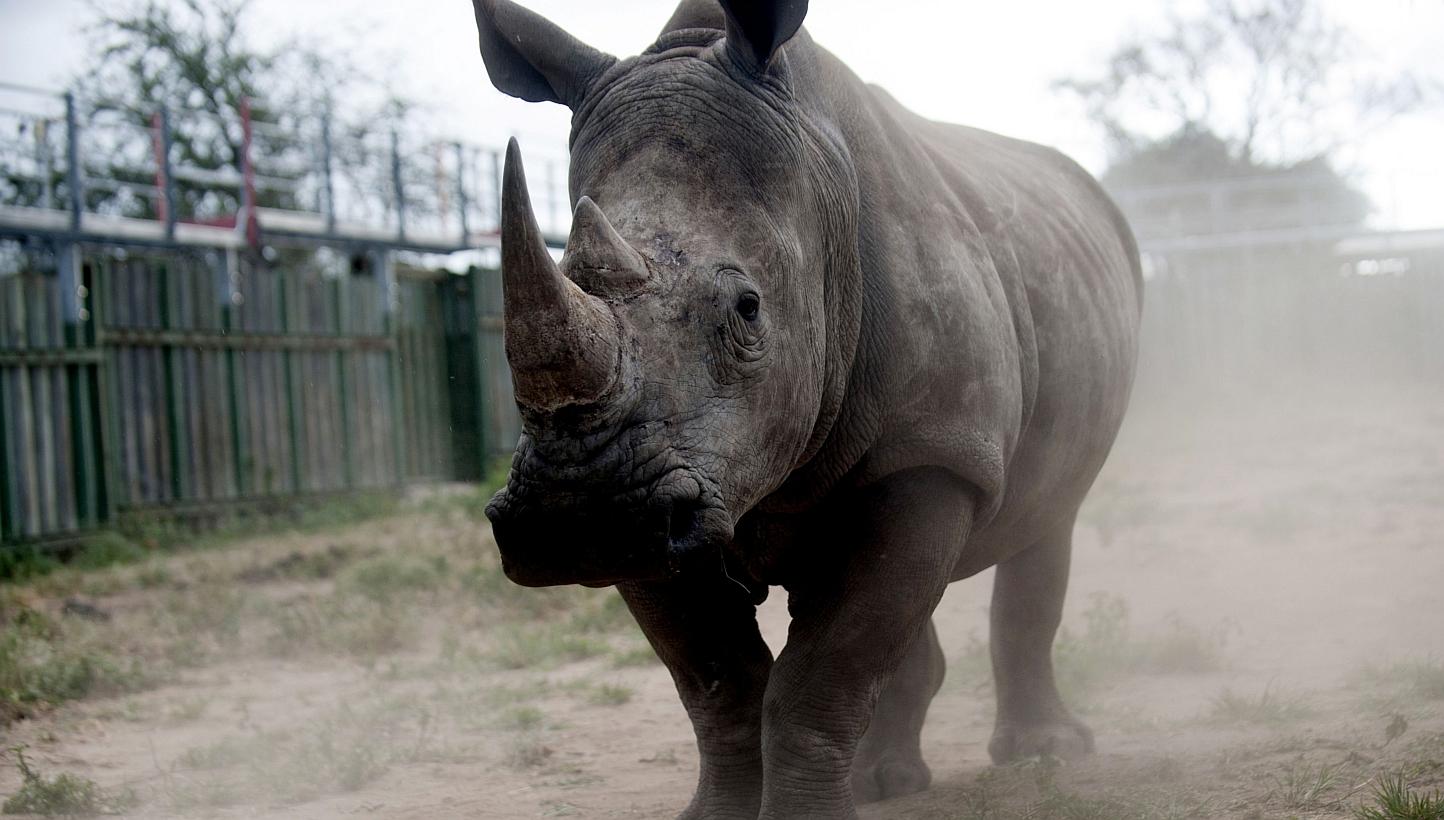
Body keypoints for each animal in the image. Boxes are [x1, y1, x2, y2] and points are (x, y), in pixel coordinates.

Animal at [472, 0, 1142, 816]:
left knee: (1049, 516)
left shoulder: (934, 450)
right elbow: (718, 683)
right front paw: (719, 814)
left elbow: (825, 672)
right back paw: (885, 783)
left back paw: (1042, 754)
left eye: (748, 308)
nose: (576, 513)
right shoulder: (656, 516)